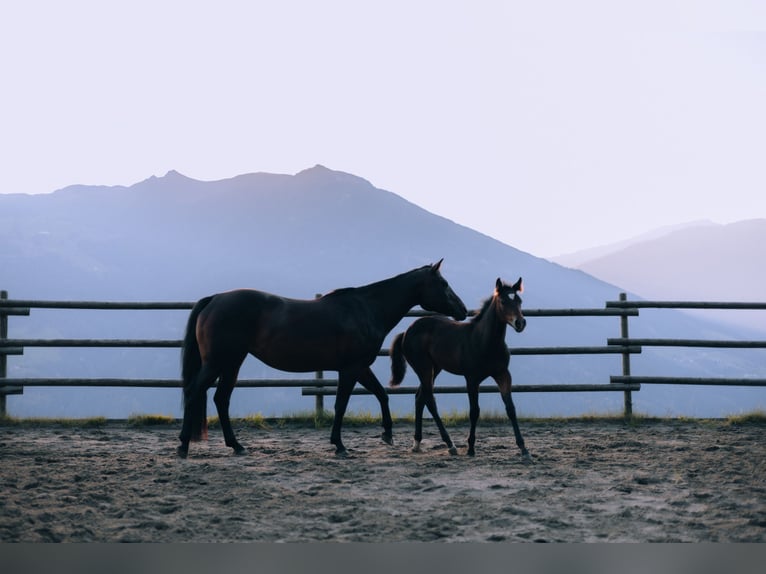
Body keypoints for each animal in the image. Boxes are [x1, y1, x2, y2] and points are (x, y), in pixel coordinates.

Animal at [180, 260, 468, 460]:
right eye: (443, 284)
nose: (463, 310)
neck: (366, 309)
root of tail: (215, 299)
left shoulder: (360, 367)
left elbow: (381, 394)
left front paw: (387, 434)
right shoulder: (350, 369)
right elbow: (341, 405)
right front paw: (339, 445)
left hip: (231, 363)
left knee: (221, 399)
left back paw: (236, 446)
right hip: (217, 362)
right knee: (194, 392)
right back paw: (183, 446)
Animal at [392, 280, 532, 464]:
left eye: (519, 301)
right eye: (503, 301)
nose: (520, 323)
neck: (485, 341)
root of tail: (407, 331)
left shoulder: (503, 375)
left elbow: (510, 408)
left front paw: (523, 448)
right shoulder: (472, 379)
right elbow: (474, 411)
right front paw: (471, 448)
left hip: (435, 368)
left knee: (420, 397)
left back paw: (417, 443)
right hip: (423, 367)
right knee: (429, 399)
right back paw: (450, 445)